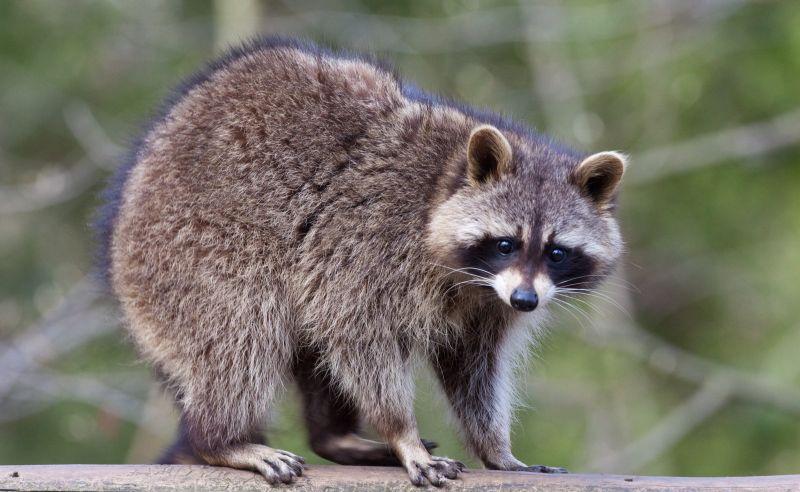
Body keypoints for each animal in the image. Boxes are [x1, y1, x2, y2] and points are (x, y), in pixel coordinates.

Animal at [97, 36, 624, 486]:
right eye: (506, 244)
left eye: (556, 253)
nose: (526, 301)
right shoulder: (367, 245)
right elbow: (358, 335)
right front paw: (403, 433)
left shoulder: (488, 305)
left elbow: (472, 369)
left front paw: (495, 447)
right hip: (193, 254)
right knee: (245, 335)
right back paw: (221, 440)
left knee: (311, 350)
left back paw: (332, 436)